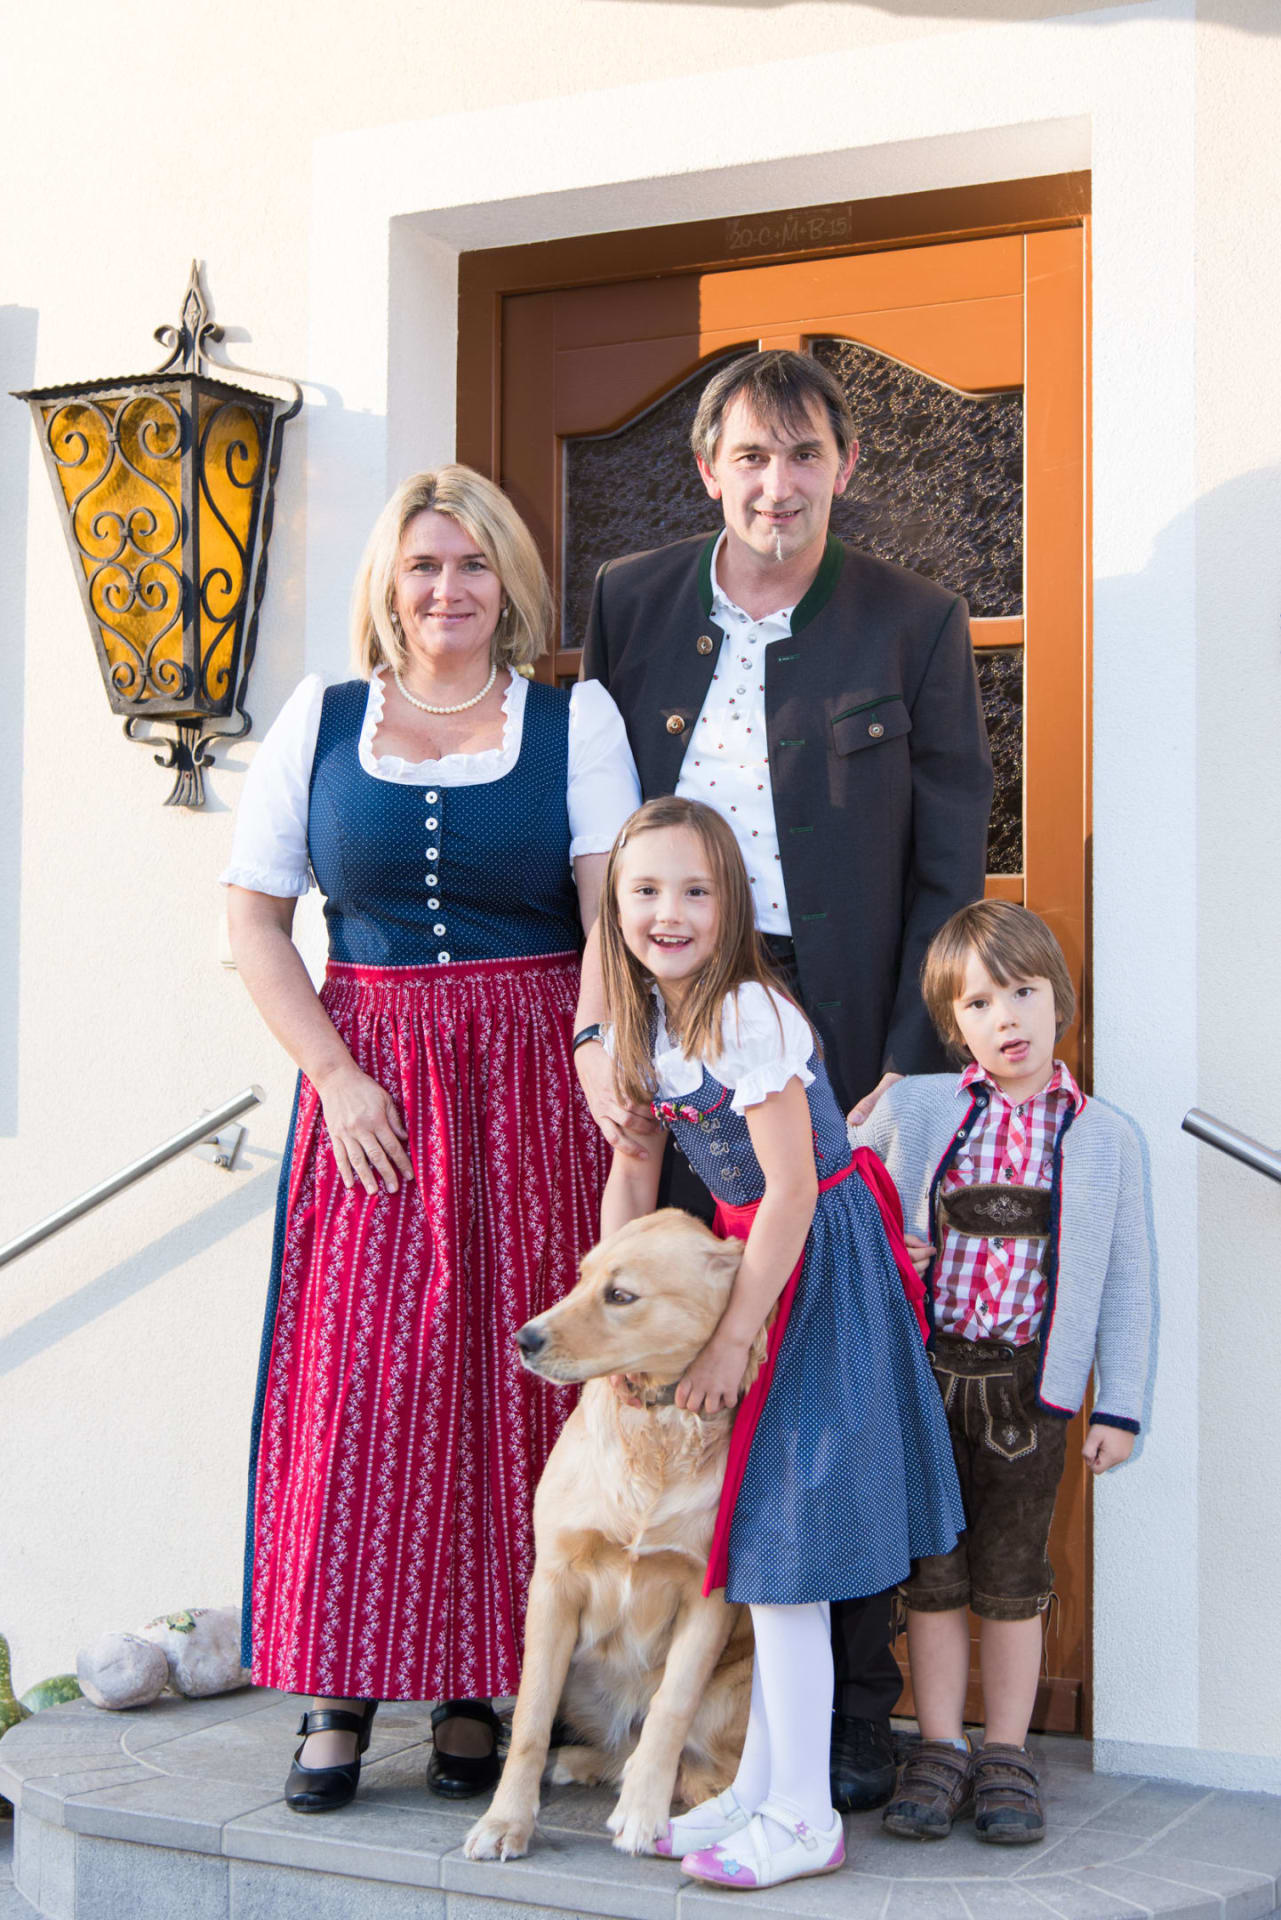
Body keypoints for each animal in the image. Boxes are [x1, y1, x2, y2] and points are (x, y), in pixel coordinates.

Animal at [463, 1208, 762, 1860]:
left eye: (621, 1295)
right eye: (581, 1277)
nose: (524, 1340)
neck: (657, 1428)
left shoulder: (708, 1595)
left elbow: (671, 1707)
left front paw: (643, 1813)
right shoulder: (554, 1583)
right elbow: (530, 1720)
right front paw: (505, 1820)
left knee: (700, 1767)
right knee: (610, 1743)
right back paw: (578, 1761)